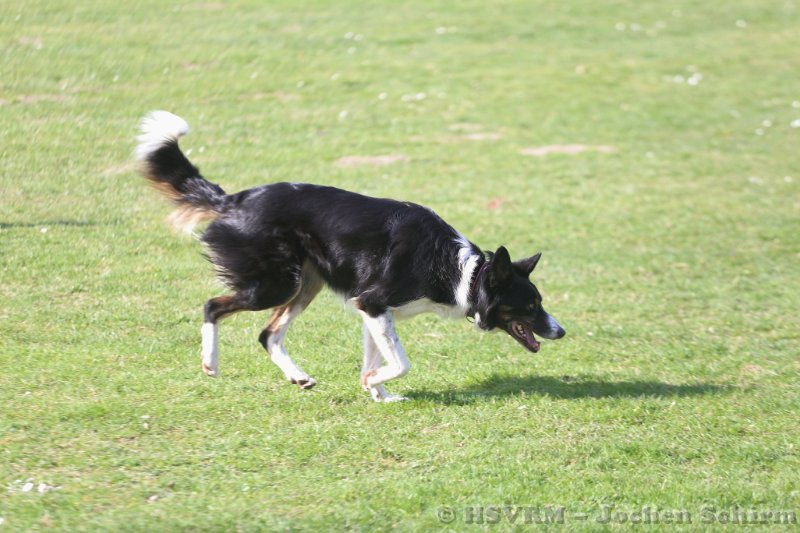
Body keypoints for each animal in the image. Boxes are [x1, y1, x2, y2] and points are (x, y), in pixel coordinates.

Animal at [135, 111, 565, 402]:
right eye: (530, 305)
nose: (561, 331)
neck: (462, 272)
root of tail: (235, 200)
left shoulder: (373, 311)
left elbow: (375, 361)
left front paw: (379, 395)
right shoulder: (373, 303)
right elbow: (400, 363)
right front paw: (375, 386)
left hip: (304, 284)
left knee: (267, 334)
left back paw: (298, 377)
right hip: (275, 284)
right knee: (212, 306)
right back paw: (210, 362)